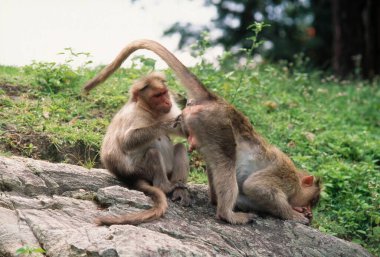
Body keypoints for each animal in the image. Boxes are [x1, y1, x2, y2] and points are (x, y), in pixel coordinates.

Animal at [91, 71, 191, 224]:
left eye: (164, 93)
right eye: (157, 96)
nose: (167, 102)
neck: (150, 111)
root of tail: (130, 177)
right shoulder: (132, 114)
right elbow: (127, 141)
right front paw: (164, 125)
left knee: (180, 148)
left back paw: (179, 192)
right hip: (140, 170)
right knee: (153, 152)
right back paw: (164, 187)